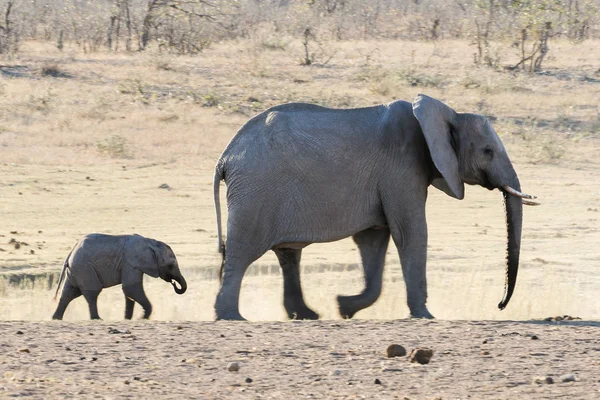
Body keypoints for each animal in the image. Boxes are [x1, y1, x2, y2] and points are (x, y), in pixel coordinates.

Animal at [52, 233, 186, 320]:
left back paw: (56, 318)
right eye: (170, 266)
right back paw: (97, 319)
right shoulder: (130, 264)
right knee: (92, 293)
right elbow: (131, 288)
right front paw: (142, 318)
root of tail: (70, 253)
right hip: (85, 269)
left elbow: (129, 292)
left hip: (77, 271)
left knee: (68, 293)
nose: (174, 283)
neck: (150, 243)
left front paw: (127, 319)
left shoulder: (131, 265)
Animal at [212, 94, 540, 322]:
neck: (446, 114)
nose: (499, 305)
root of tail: (225, 157)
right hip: (255, 192)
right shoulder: (402, 168)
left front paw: (344, 307)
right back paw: (231, 317)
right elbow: (410, 232)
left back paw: (306, 316)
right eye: (488, 151)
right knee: (243, 252)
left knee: (288, 254)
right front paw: (425, 316)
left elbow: (373, 240)